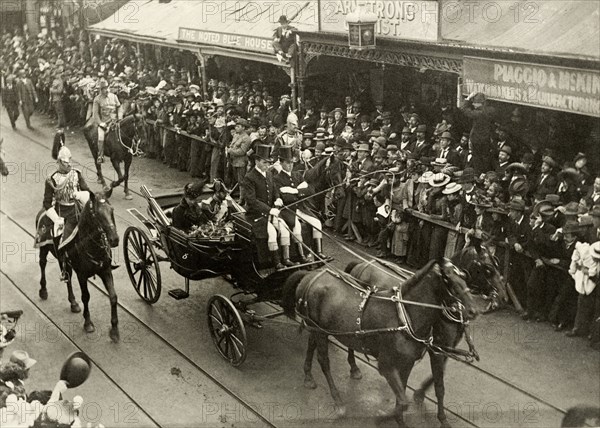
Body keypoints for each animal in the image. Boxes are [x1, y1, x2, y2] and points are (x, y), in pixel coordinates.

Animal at [36, 189, 120, 342]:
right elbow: (86, 296)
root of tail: (43, 210)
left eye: (112, 210)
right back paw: (43, 290)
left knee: (67, 276)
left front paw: (114, 330)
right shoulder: (82, 275)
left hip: (62, 259)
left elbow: (113, 297)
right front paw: (88, 323)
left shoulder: (105, 271)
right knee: (42, 264)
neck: (91, 245)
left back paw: (73, 303)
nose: (114, 239)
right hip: (43, 247)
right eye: (96, 214)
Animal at [282, 260, 478, 426]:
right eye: (448, 280)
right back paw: (338, 401)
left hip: (316, 328)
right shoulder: (387, 365)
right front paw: (383, 417)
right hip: (320, 331)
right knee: (324, 361)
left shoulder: (408, 363)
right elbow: (404, 400)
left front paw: (399, 419)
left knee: (311, 345)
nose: (473, 310)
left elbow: (405, 396)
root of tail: (311, 275)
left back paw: (309, 376)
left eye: (464, 278)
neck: (405, 316)